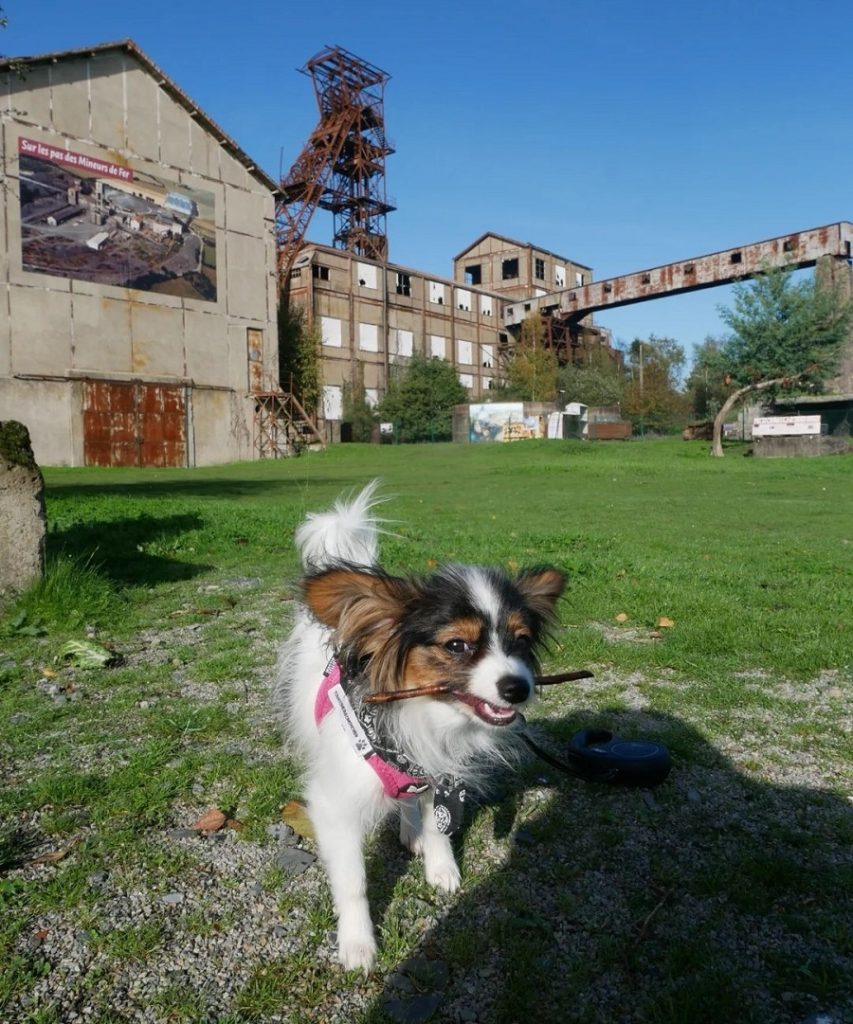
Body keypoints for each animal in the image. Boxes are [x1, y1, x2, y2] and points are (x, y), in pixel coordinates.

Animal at [274, 483, 565, 970]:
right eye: (457, 645)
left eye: (521, 640)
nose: (518, 688)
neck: (425, 718)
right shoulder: (336, 806)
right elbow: (352, 882)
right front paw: (357, 943)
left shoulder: (441, 773)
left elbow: (438, 825)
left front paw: (441, 865)